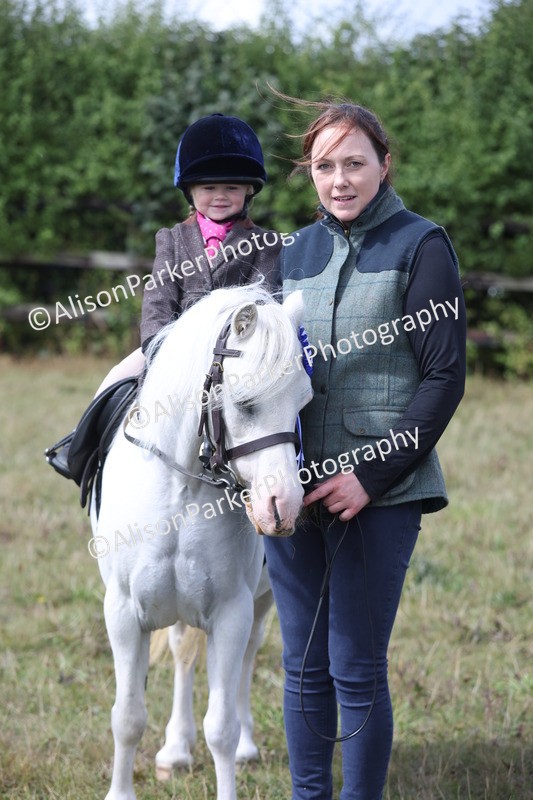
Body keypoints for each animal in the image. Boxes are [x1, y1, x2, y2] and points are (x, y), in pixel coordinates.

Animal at [90, 284, 313, 800]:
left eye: (303, 402)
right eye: (245, 403)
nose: (283, 507)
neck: (182, 488)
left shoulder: (232, 613)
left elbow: (222, 727)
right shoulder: (123, 612)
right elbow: (127, 717)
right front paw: (121, 791)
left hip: (261, 603)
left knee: (248, 658)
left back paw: (245, 745)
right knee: (180, 652)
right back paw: (175, 749)